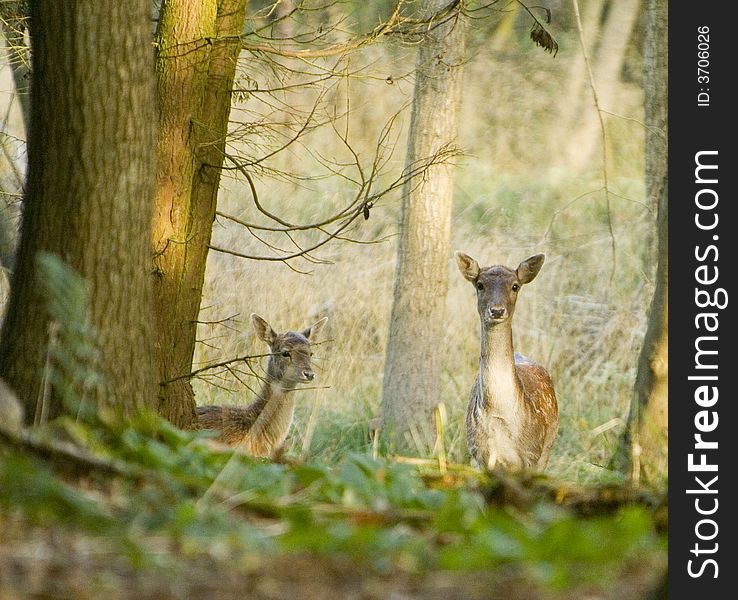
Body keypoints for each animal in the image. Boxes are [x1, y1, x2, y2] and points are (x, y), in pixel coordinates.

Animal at [452, 251, 556, 472]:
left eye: (515, 286)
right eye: (480, 284)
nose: (497, 310)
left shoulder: (531, 454)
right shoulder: (478, 454)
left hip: (547, 448)